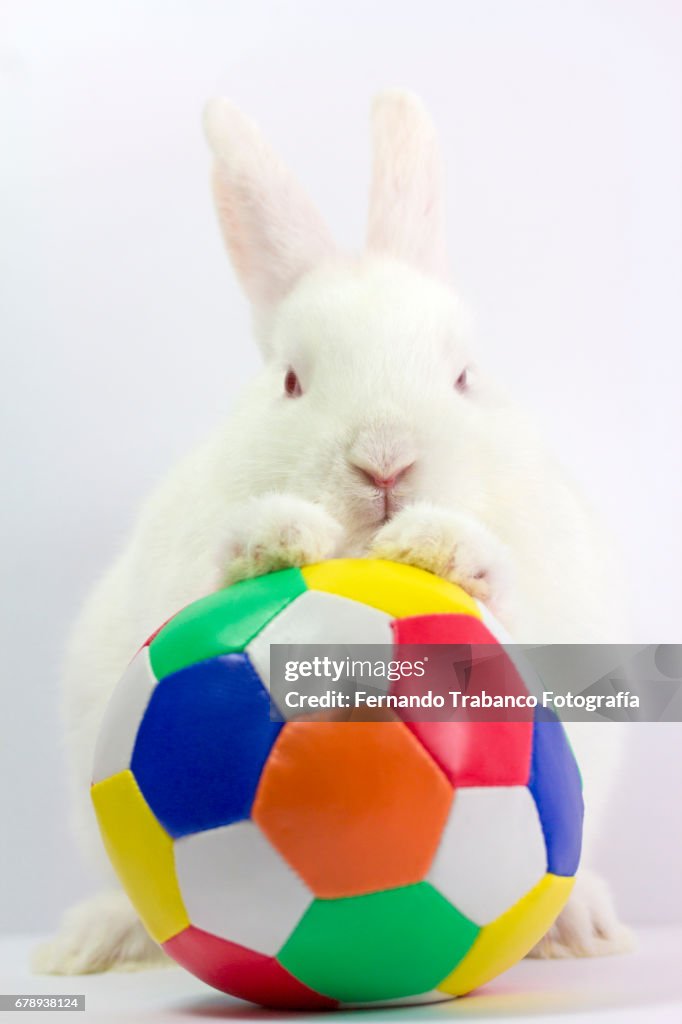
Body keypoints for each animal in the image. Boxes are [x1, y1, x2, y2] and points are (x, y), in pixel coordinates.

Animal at [33, 89, 633, 976]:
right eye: (291, 381)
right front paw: (276, 538)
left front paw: (442, 548)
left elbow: (511, 606)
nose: (385, 462)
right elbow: (213, 576)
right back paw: (93, 940)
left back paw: (579, 927)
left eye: (464, 377)